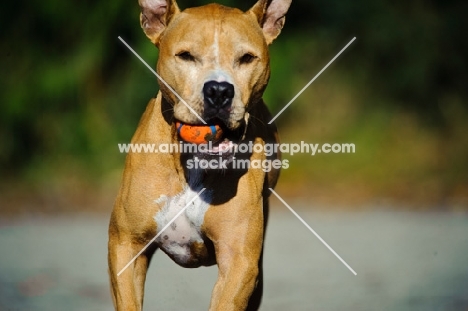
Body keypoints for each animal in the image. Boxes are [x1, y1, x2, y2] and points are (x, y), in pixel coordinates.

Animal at [109, 1, 292, 310]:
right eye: (186, 56)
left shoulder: (239, 261)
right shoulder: (126, 244)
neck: (191, 162)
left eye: (246, 58)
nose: (219, 90)